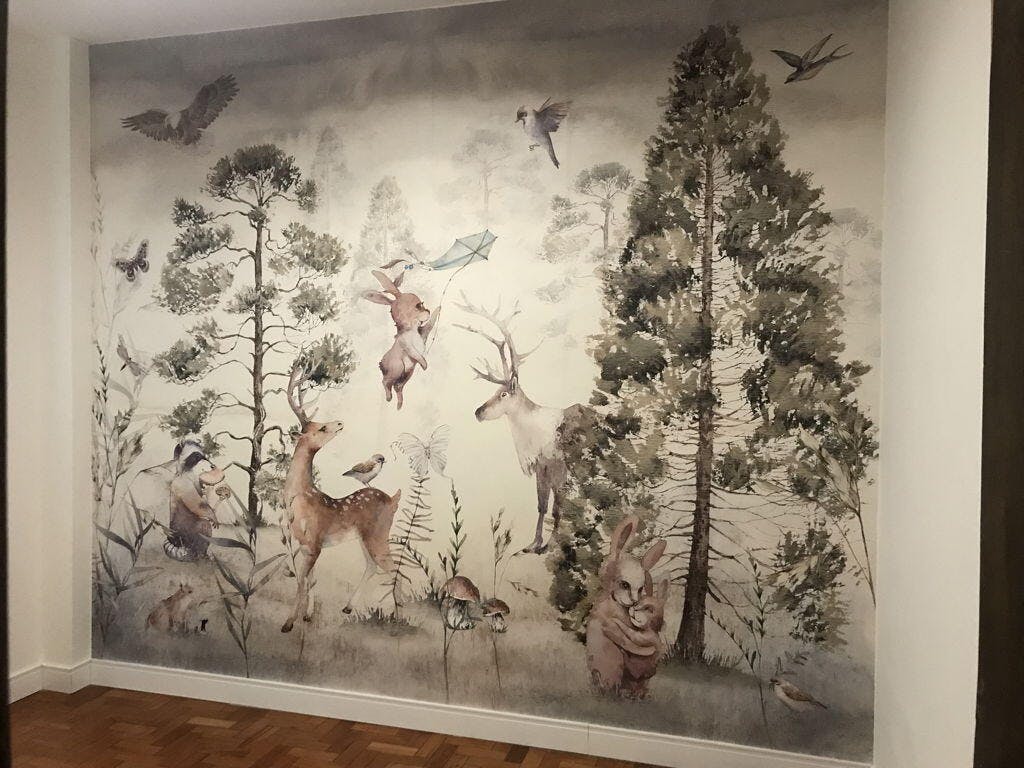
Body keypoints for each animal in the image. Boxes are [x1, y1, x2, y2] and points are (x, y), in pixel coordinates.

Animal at [280, 360, 402, 633]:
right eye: (322, 427)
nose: (338, 422)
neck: (300, 501)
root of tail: (393, 500)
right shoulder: (305, 545)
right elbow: (310, 580)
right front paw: (307, 615)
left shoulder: (315, 542)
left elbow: (301, 581)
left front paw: (289, 622)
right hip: (364, 538)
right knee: (372, 566)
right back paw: (348, 607)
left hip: (378, 535)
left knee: (392, 568)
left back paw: (397, 617)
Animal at [361, 269, 438, 409]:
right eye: (418, 306)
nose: (428, 310)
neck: (411, 329)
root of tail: (381, 364)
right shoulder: (406, 344)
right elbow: (416, 354)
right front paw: (424, 365)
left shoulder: (424, 332)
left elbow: (431, 323)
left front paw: (438, 309)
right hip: (398, 367)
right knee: (385, 381)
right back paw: (388, 398)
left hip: (407, 372)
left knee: (397, 386)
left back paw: (399, 404)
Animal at [455, 295, 576, 554]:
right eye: (494, 391)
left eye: (503, 394)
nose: (478, 412)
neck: (533, 437)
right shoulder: (541, 467)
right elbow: (541, 505)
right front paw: (534, 544)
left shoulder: (557, 465)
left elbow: (557, 506)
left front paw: (551, 543)